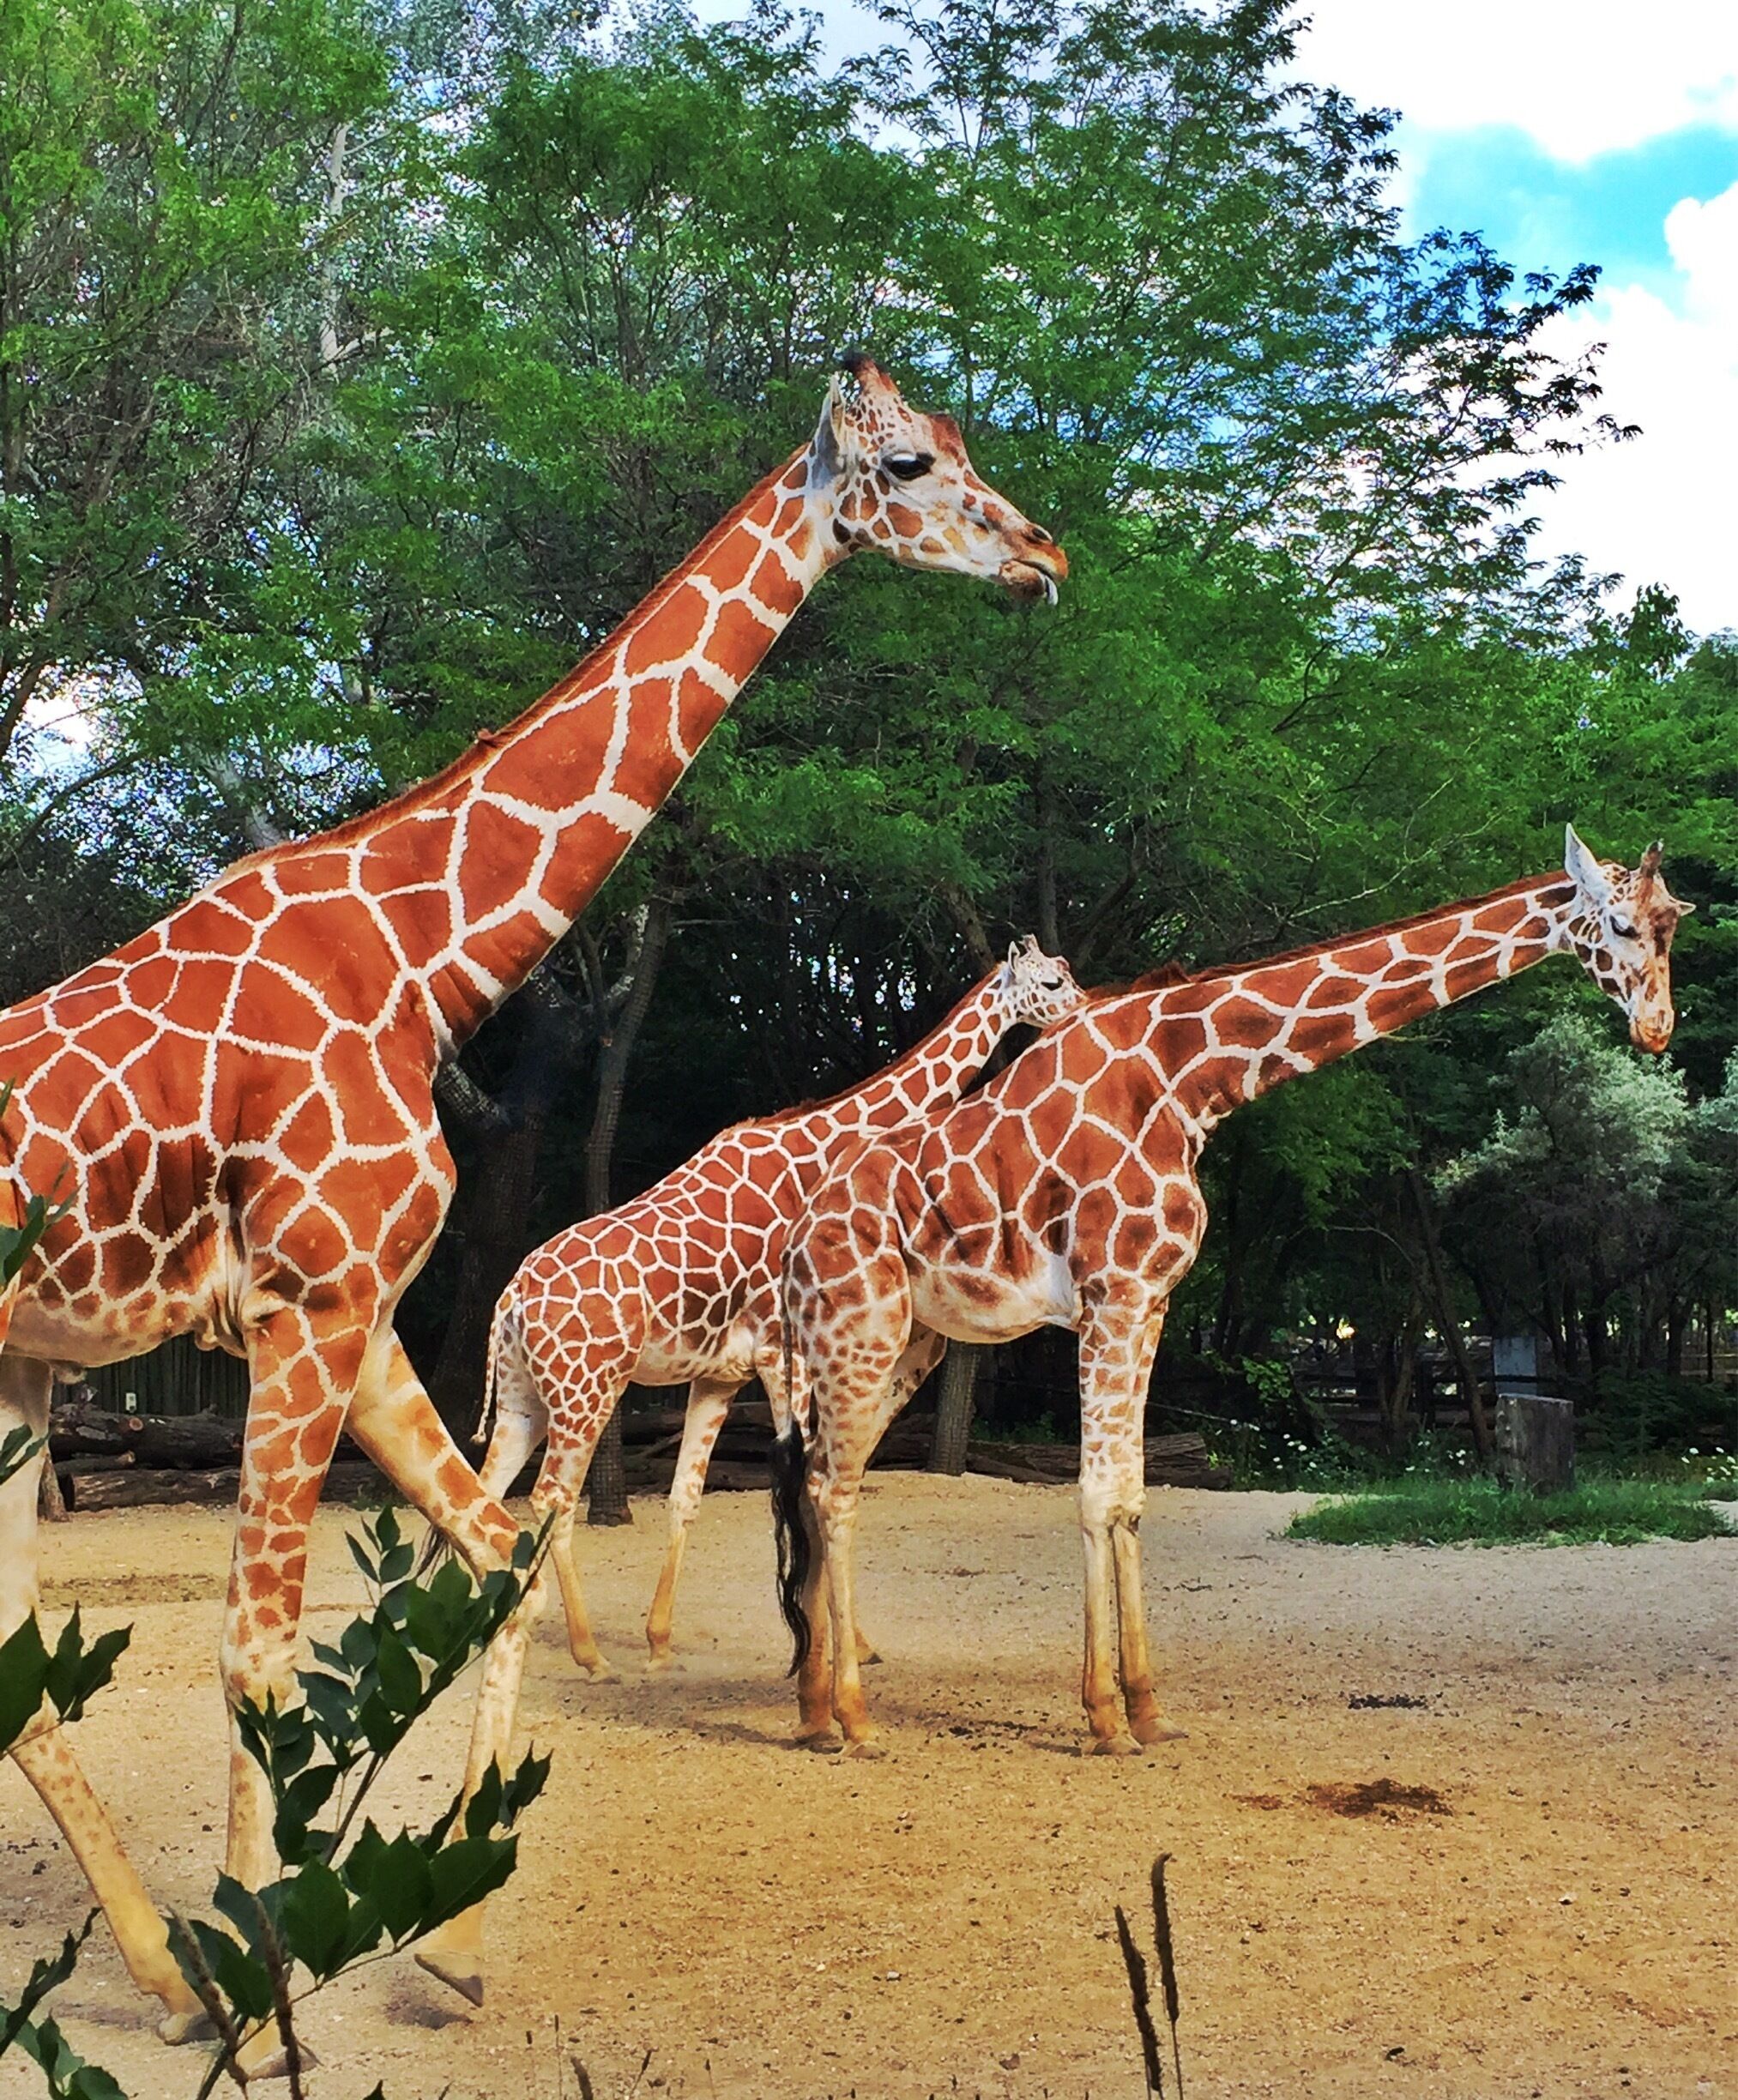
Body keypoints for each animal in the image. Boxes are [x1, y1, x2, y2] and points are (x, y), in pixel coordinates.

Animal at [0, 356, 1065, 2034]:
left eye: (961, 444)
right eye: (909, 463)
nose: (1043, 554)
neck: (418, 962)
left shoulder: (362, 1319)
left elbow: (487, 1561)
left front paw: (450, 1933)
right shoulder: (305, 1307)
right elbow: (257, 1652)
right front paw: (276, 1972)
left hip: (24, 1367)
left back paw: (167, 1979)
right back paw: (198, 1977)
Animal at [773, 830, 1691, 1758]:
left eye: (1672, 923)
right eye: (1619, 925)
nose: (1656, 1029)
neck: (1189, 1080)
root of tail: (796, 1240)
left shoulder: (1150, 1302)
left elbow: (1131, 1496)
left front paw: (1146, 1709)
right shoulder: (1111, 1294)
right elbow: (1095, 1495)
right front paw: (1103, 1716)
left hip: (897, 1340)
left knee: (815, 1477)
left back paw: (814, 1707)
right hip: (859, 1326)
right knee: (833, 1487)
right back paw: (850, 1716)